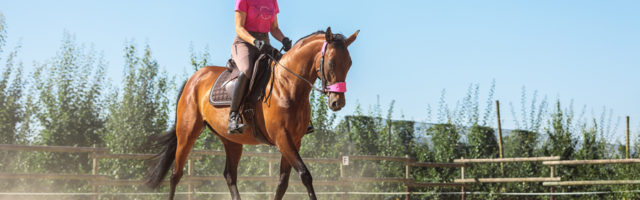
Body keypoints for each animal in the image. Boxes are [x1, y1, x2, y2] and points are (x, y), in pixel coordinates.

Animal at [144, 27, 360, 200]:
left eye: (349, 64)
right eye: (331, 63)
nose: (337, 102)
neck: (287, 85)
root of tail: (194, 78)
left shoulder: (294, 140)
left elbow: (282, 183)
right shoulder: (282, 138)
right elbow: (305, 175)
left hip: (231, 141)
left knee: (229, 175)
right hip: (187, 133)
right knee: (175, 174)